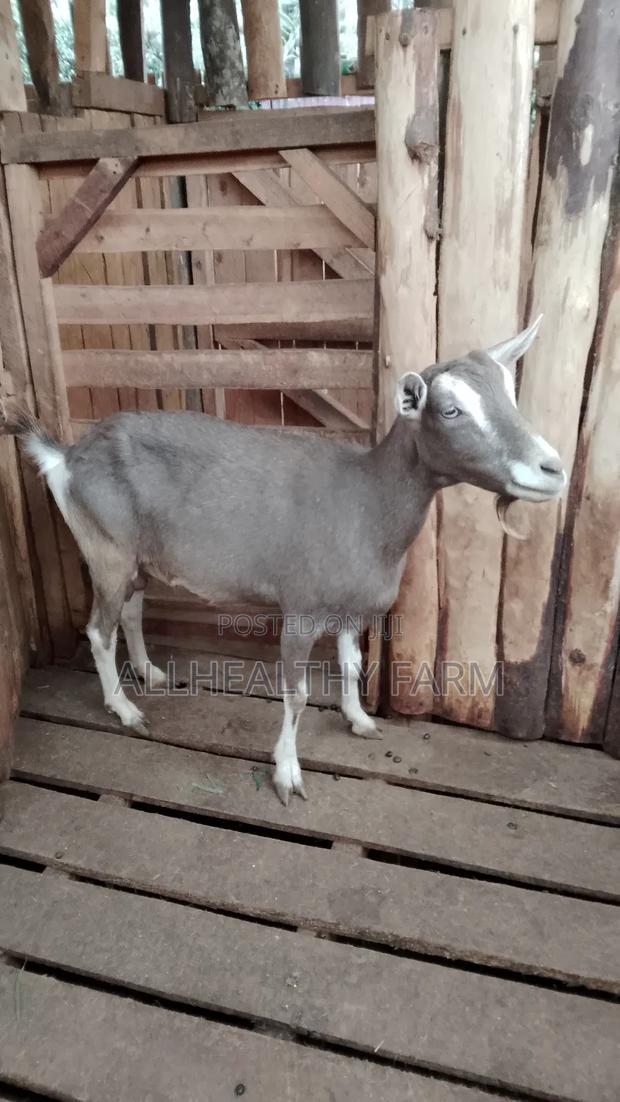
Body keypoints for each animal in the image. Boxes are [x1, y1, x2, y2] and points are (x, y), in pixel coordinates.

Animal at [3, 317, 565, 805]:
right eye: (450, 410)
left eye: (510, 394)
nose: (552, 469)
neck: (365, 501)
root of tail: (67, 458)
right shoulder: (301, 610)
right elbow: (295, 695)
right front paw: (288, 774)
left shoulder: (352, 608)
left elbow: (352, 664)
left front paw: (359, 720)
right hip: (107, 549)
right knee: (99, 630)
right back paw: (124, 708)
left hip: (139, 556)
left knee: (131, 612)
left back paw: (150, 674)